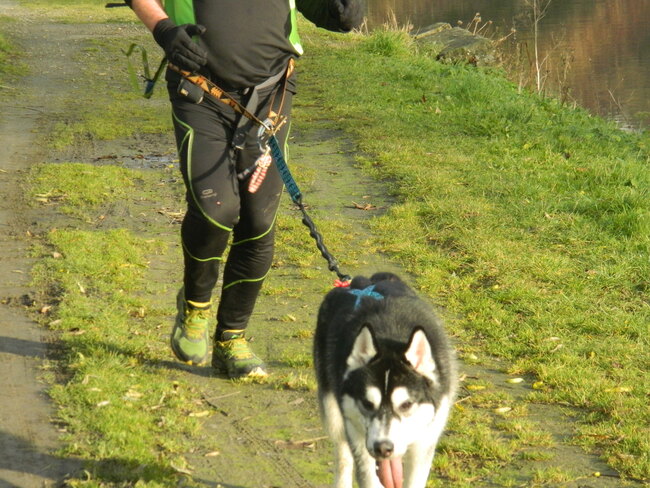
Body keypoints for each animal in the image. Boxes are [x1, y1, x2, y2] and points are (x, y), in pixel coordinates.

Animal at [312, 272, 456, 486]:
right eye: (367, 403)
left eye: (406, 405)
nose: (383, 448)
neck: (390, 335)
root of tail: (362, 281)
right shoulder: (360, 443)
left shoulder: (424, 443)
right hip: (334, 415)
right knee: (343, 458)